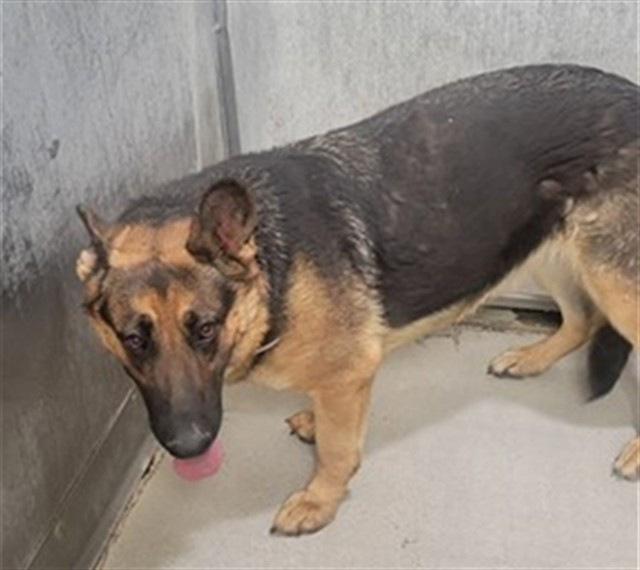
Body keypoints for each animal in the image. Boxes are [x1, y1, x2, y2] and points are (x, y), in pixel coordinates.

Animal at [76, 64, 639, 536]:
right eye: (133, 339)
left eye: (206, 329)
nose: (189, 445)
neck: (274, 271)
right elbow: (328, 419)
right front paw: (312, 421)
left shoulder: (349, 372)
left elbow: (337, 449)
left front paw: (319, 500)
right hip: (547, 250)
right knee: (583, 320)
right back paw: (531, 357)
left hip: (614, 283)